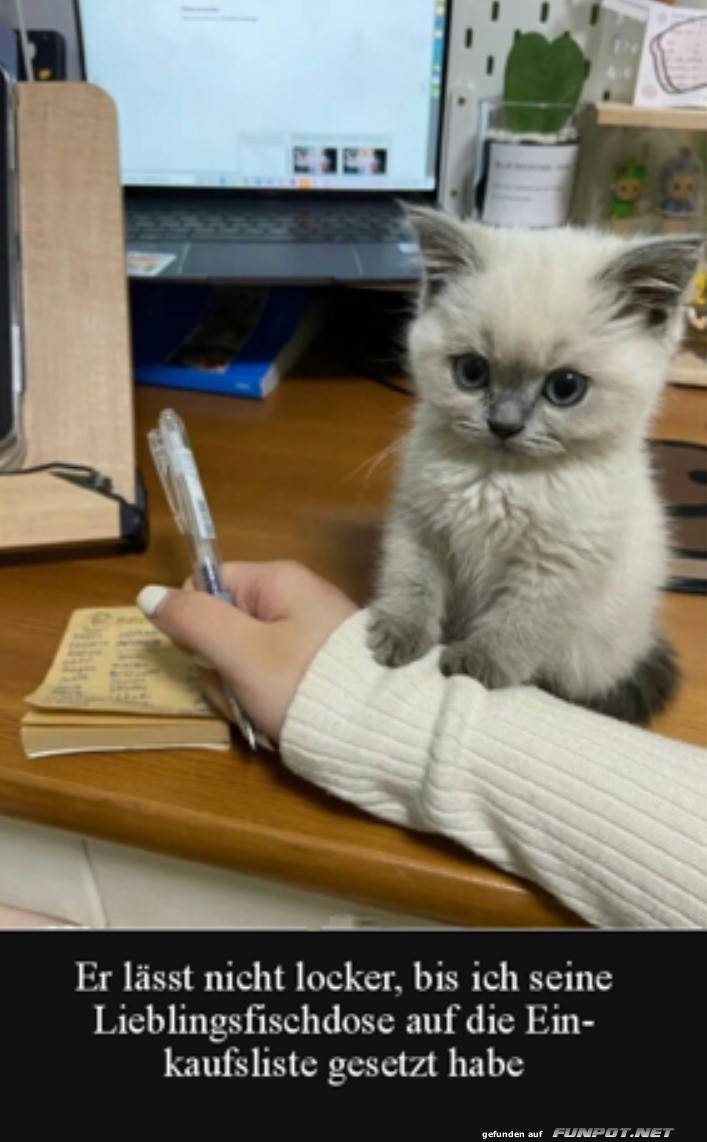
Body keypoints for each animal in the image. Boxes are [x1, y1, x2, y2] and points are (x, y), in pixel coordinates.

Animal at [367, 207, 703, 721]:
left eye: (565, 387)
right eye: (471, 372)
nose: (503, 425)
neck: (500, 478)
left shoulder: (559, 565)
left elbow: (520, 623)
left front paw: (477, 664)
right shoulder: (420, 521)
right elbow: (412, 580)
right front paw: (399, 633)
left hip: (588, 652)